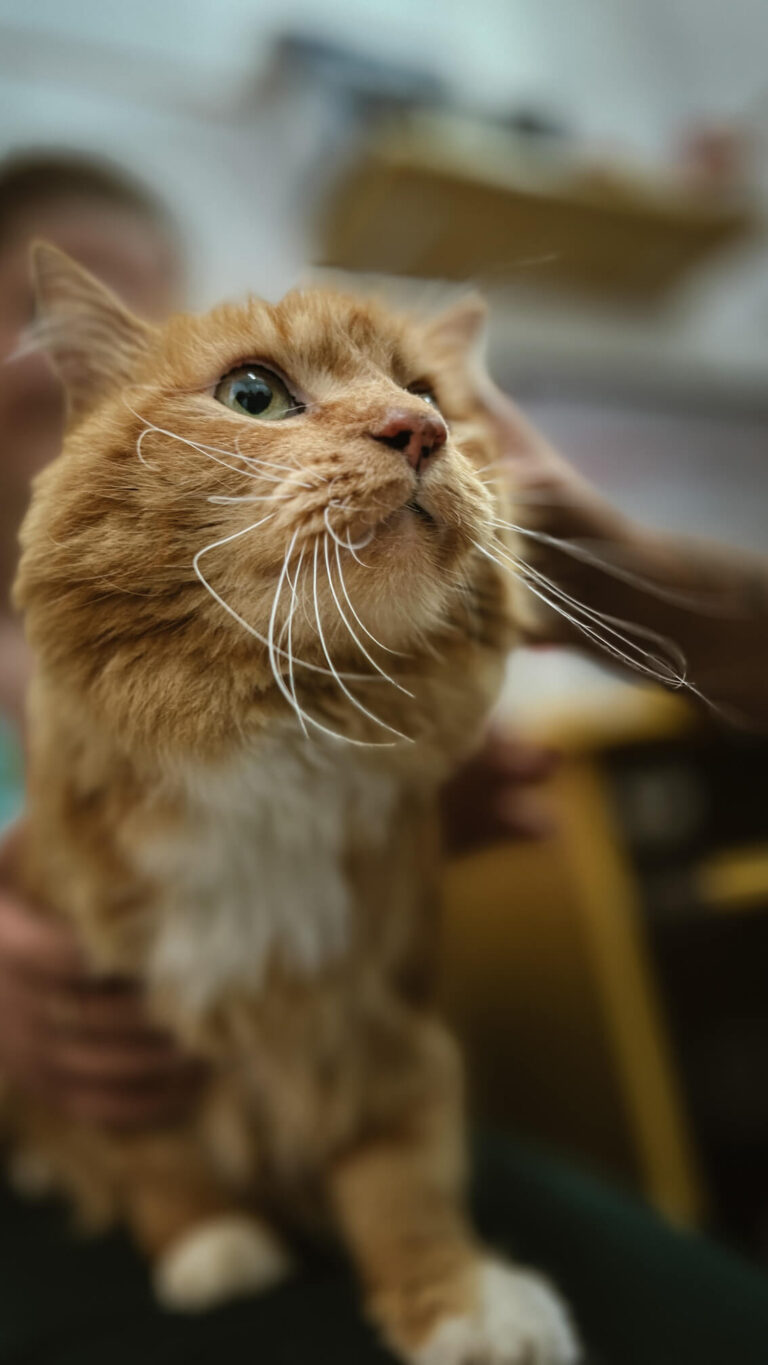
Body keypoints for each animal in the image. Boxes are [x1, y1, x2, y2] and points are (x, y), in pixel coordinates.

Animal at [6, 245, 581, 1365]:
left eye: (427, 392)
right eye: (253, 395)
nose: (418, 430)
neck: (282, 735)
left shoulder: (381, 1033)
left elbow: (401, 1187)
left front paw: (465, 1305)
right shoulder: (102, 1019)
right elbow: (156, 1157)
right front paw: (213, 1247)